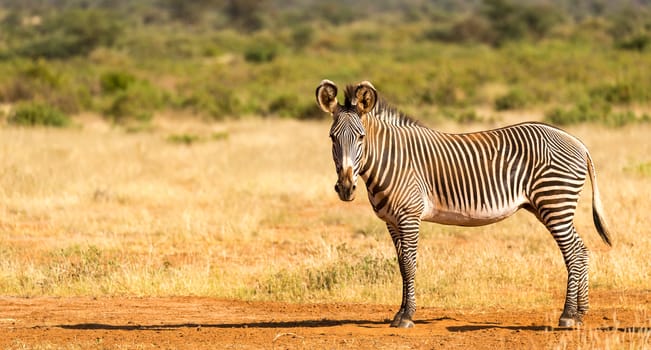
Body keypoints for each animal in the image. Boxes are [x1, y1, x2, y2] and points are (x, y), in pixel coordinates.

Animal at [316, 78, 612, 328]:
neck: (390, 159)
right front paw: (399, 313)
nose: (345, 188)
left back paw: (569, 315)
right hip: (548, 206)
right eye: (332, 137)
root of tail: (576, 140)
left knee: (574, 252)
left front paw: (407, 316)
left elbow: (410, 262)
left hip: (555, 202)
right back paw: (579, 313)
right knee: (579, 251)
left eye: (361, 137)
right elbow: (401, 264)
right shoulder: (391, 221)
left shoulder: (409, 216)